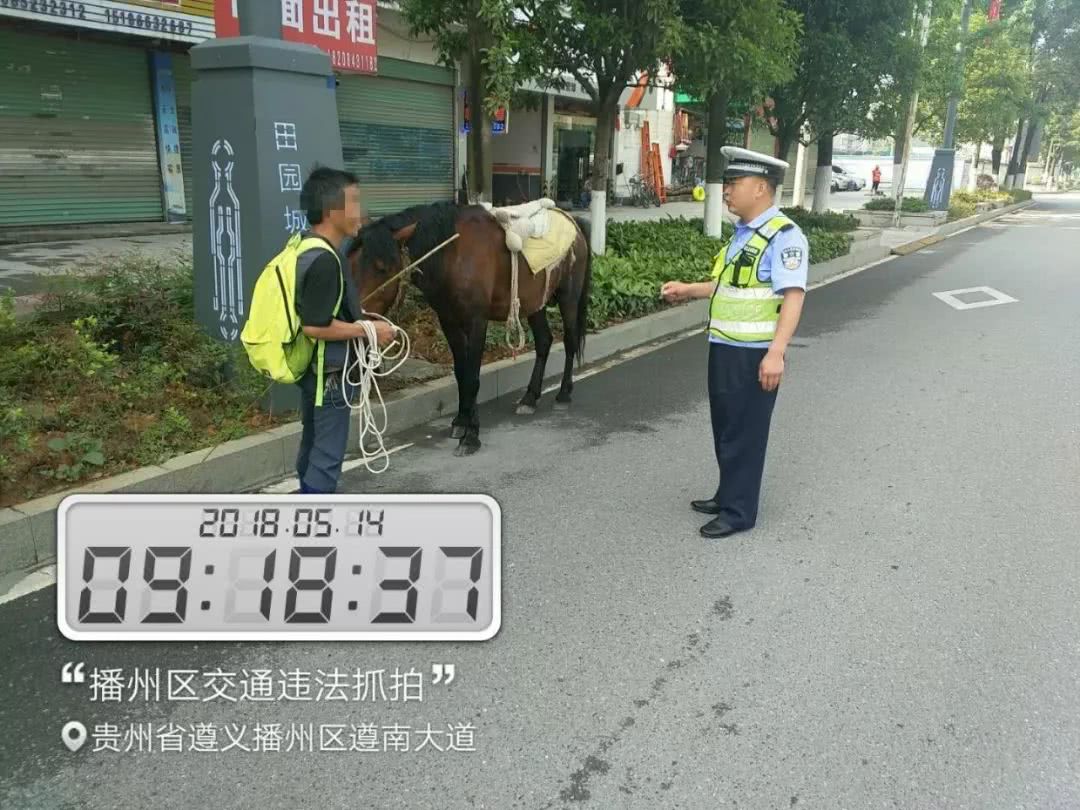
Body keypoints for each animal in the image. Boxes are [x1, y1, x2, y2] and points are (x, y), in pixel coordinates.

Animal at [347, 200, 593, 457]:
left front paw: (471, 435)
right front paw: (461, 421)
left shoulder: (476, 321)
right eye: (350, 265)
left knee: (570, 342)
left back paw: (564, 393)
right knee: (544, 341)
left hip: (568, 297)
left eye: (382, 267)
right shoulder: (449, 321)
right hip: (535, 303)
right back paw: (529, 398)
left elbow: (473, 376)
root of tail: (574, 222)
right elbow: (461, 373)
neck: (453, 253)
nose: (356, 315)